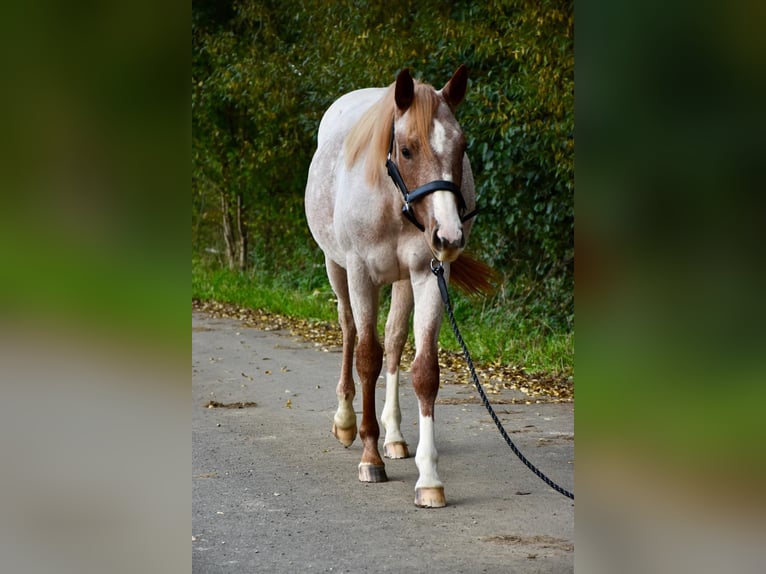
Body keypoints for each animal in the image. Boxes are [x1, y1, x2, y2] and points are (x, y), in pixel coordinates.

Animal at [305, 65, 487, 507]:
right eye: (406, 150)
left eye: (462, 147)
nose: (449, 235)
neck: (393, 200)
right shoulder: (359, 273)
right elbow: (366, 357)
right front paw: (370, 457)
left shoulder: (429, 275)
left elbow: (423, 371)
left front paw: (429, 478)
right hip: (335, 267)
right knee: (350, 330)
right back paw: (346, 422)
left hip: (404, 281)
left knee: (394, 339)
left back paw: (395, 436)